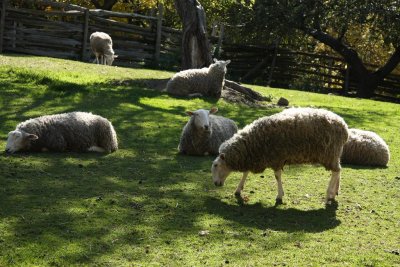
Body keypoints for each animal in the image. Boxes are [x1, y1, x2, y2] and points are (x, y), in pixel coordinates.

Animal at [211, 107, 348, 205]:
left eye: (216, 165)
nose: (215, 183)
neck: (251, 143)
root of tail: (344, 126)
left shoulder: (276, 157)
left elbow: (277, 176)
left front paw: (279, 196)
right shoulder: (254, 157)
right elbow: (246, 172)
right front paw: (238, 190)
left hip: (329, 153)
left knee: (336, 171)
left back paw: (328, 195)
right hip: (334, 153)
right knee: (339, 170)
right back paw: (334, 193)